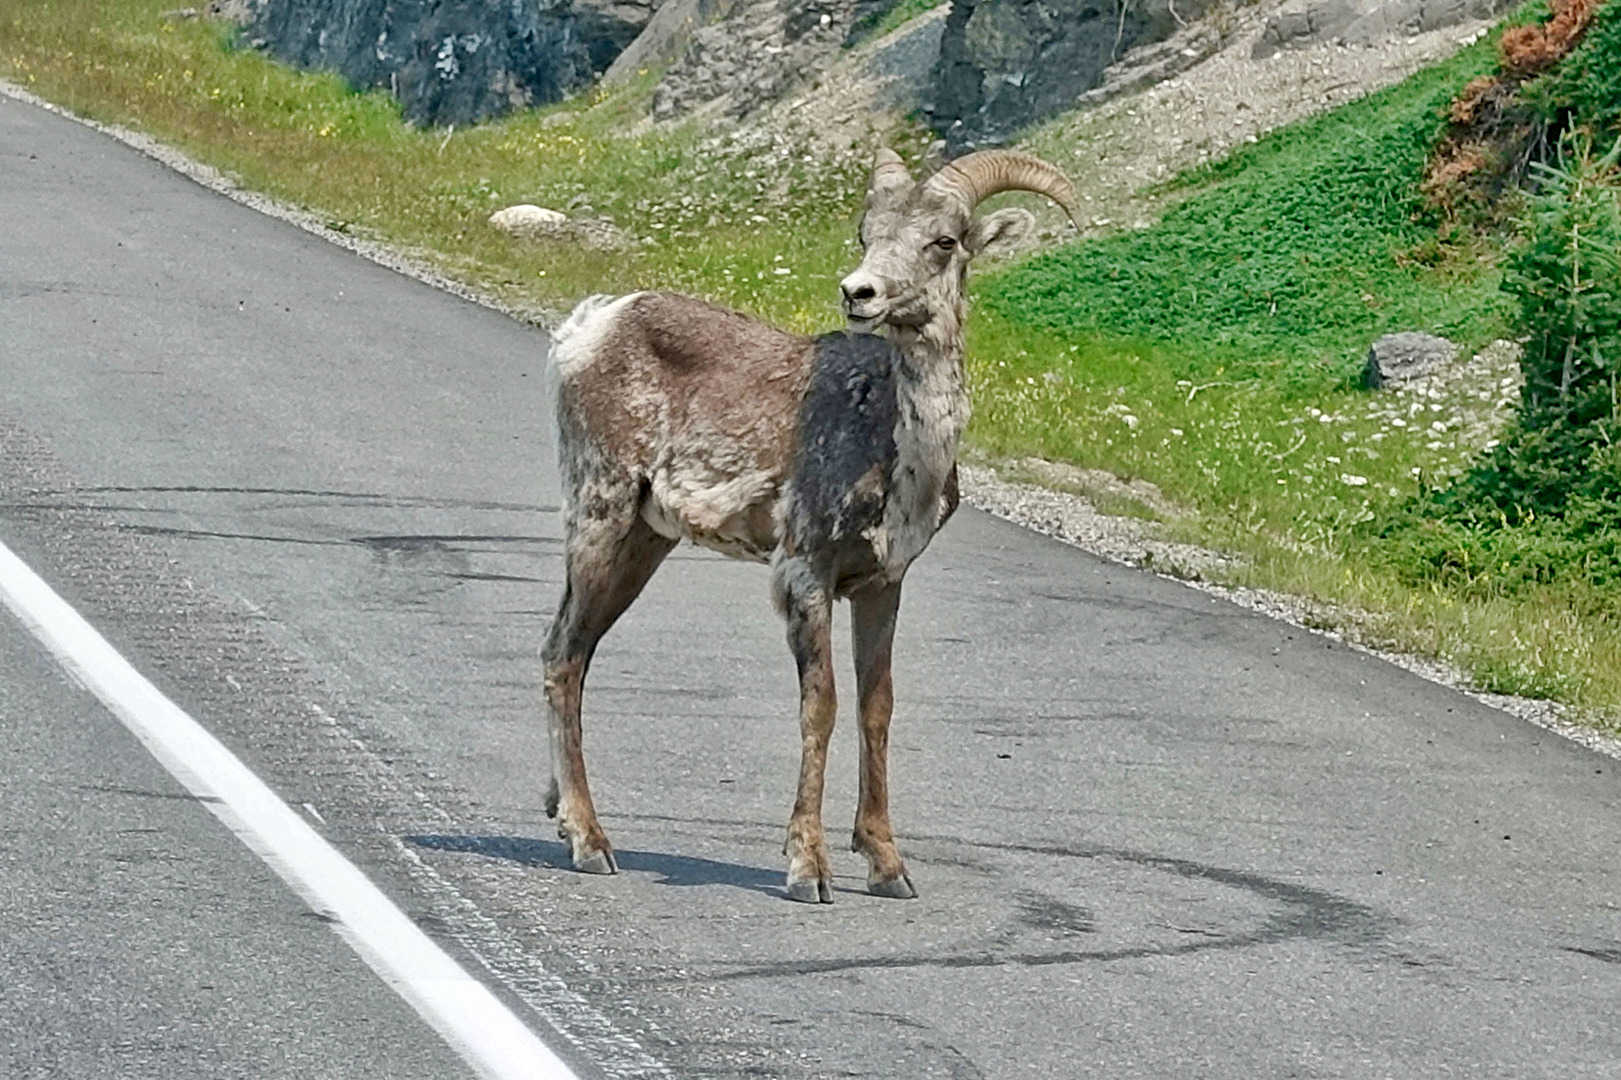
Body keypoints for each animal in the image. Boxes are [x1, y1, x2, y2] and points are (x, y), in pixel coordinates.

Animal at [541, 145, 1076, 901]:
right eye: (865, 232)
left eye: (943, 242)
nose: (859, 293)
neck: (896, 448)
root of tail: (587, 327)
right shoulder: (804, 571)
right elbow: (820, 705)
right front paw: (808, 869)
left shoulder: (883, 583)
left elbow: (876, 706)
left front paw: (888, 867)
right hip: (599, 513)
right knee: (562, 654)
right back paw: (591, 844)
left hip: (645, 540)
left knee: (579, 651)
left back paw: (561, 816)